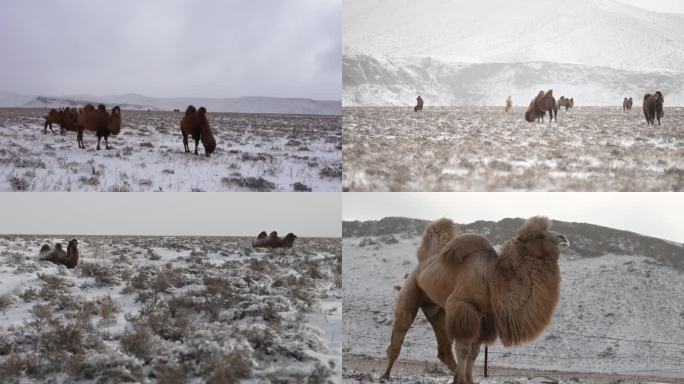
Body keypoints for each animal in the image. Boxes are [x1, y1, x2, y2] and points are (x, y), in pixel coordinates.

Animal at [382, 218, 568, 382]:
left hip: (435, 307)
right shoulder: (463, 306)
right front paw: (460, 380)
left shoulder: (485, 318)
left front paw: (468, 380)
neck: (492, 281)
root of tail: (423, 261)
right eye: (540, 235)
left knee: (443, 345)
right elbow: (464, 349)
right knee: (401, 328)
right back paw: (385, 376)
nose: (564, 238)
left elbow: (475, 352)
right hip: (411, 289)